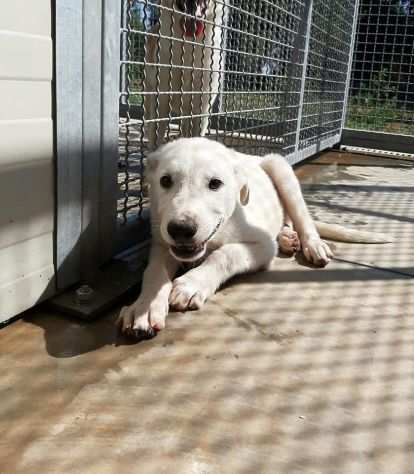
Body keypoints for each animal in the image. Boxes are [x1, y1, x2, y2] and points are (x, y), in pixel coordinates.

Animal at [117, 137, 392, 336]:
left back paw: (312, 245)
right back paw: (288, 238)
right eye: (165, 181)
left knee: (302, 218)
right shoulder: (163, 243)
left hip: (280, 169)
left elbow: (224, 254)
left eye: (215, 183)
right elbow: (154, 271)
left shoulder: (262, 245)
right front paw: (144, 308)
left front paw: (191, 285)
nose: (181, 229)